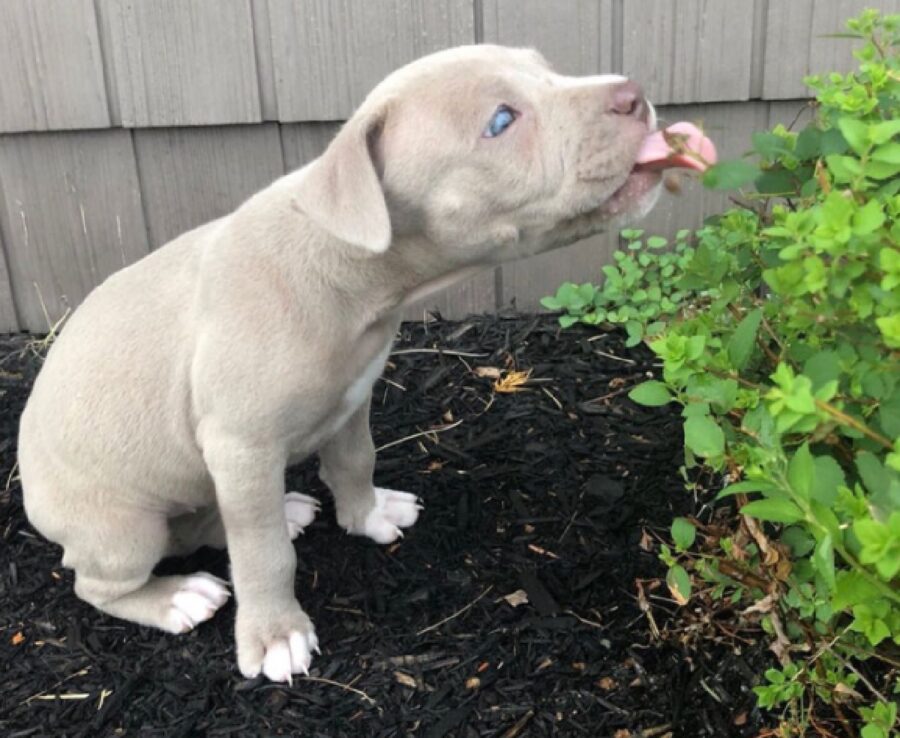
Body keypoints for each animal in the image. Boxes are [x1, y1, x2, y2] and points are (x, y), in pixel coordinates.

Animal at [15, 44, 716, 680]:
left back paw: (280, 511)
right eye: (500, 120)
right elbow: (262, 555)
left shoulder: (352, 398)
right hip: (121, 527)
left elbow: (354, 461)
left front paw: (368, 514)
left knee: (210, 521)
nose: (632, 93)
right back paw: (176, 597)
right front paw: (276, 636)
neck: (344, 267)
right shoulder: (241, 445)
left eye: (547, 70)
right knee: (103, 581)